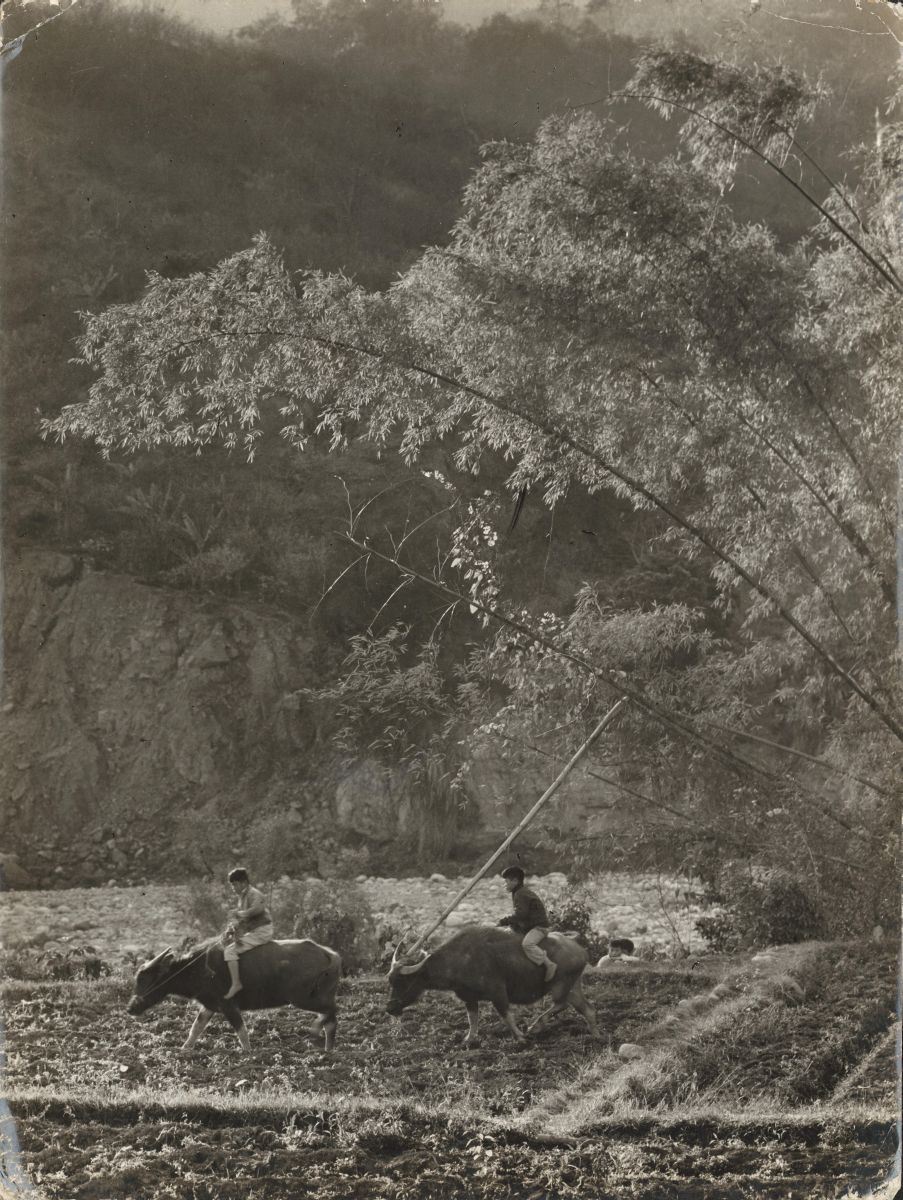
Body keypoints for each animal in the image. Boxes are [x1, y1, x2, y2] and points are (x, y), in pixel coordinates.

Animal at [130, 936, 345, 1051]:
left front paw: (248, 1053)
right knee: (330, 1019)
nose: (130, 1008)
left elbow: (241, 1031)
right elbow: (196, 1028)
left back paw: (316, 1033)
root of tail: (331, 955)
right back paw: (328, 1049)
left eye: (144, 978)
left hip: (303, 998)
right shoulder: (209, 1005)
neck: (200, 968)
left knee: (331, 1012)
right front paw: (184, 1049)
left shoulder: (228, 1005)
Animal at [384, 921, 595, 1046]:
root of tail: (580, 949)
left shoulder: (498, 993)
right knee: (586, 1009)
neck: (460, 959)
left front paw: (520, 1037)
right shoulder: (468, 998)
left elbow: (506, 1015)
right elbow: (473, 1020)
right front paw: (468, 1040)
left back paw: (536, 1025)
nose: (390, 1008)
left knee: (561, 1004)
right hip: (574, 985)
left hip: (560, 985)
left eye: (403, 981)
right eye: (390, 980)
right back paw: (596, 1034)